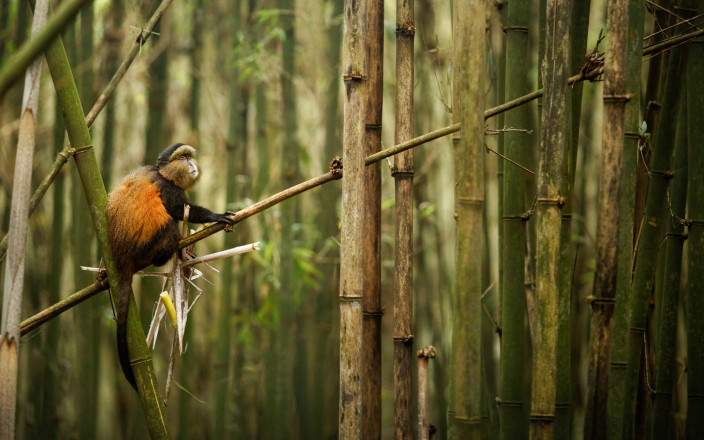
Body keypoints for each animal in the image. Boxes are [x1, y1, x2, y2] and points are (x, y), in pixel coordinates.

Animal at [107, 143, 234, 389]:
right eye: (183, 158)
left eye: (189, 157)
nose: (192, 164)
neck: (162, 173)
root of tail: (123, 257)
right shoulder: (169, 189)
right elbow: (177, 209)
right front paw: (215, 216)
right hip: (150, 247)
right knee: (170, 226)